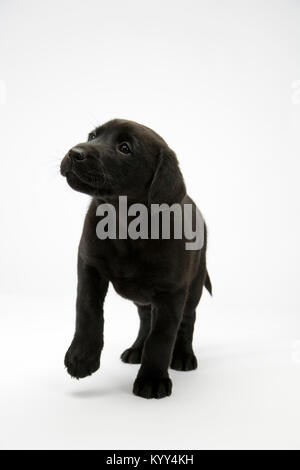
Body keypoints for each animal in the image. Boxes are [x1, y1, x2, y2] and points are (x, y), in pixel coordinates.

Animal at [60, 119, 211, 398]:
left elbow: (161, 337)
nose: (75, 152)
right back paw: (136, 350)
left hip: (193, 284)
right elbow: (87, 312)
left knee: (187, 320)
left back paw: (183, 356)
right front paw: (81, 359)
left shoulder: (171, 292)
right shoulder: (89, 267)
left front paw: (153, 379)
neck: (125, 225)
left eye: (125, 148)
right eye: (93, 135)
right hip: (142, 296)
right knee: (145, 319)